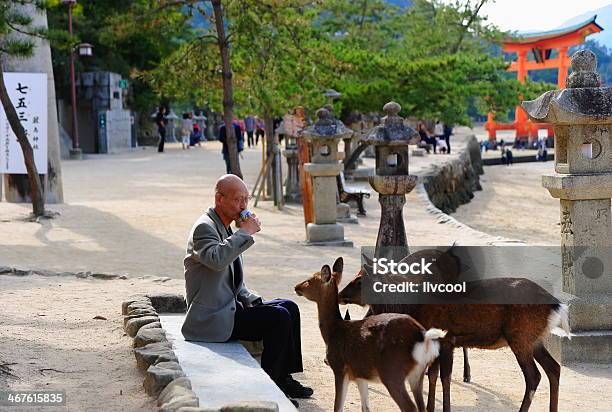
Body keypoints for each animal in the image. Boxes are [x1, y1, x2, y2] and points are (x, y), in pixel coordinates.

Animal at [294, 256, 448, 410]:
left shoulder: (340, 367)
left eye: (309, 280)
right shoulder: (360, 375)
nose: (296, 287)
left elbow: (337, 407)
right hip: (418, 374)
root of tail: (424, 337)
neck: (333, 332)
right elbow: (366, 407)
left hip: (392, 373)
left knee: (410, 407)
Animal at [334, 248, 568, 412]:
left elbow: (443, 377)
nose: (340, 294)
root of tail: (555, 305)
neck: (412, 307)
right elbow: (432, 374)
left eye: (359, 281)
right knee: (554, 368)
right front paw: (429, 408)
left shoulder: (447, 339)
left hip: (520, 336)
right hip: (534, 339)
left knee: (534, 376)